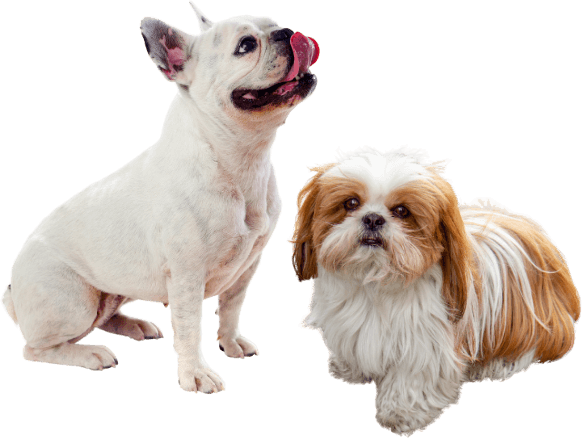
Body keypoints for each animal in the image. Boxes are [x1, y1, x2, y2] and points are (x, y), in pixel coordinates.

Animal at [1, 1, 320, 394]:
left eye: (274, 24)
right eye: (245, 46)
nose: (286, 32)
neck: (239, 158)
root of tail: (12, 290)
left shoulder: (247, 266)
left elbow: (231, 309)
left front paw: (231, 343)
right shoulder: (187, 275)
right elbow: (189, 328)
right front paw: (196, 373)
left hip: (113, 291)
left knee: (104, 315)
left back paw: (135, 325)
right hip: (73, 300)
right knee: (37, 347)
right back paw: (90, 354)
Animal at [290, 146, 580, 434]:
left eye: (402, 211)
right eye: (351, 203)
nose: (373, 218)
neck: (376, 281)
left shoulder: (424, 343)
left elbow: (411, 378)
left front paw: (400, 414)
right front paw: (351, 369)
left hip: (533, 325)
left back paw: (496, 365)